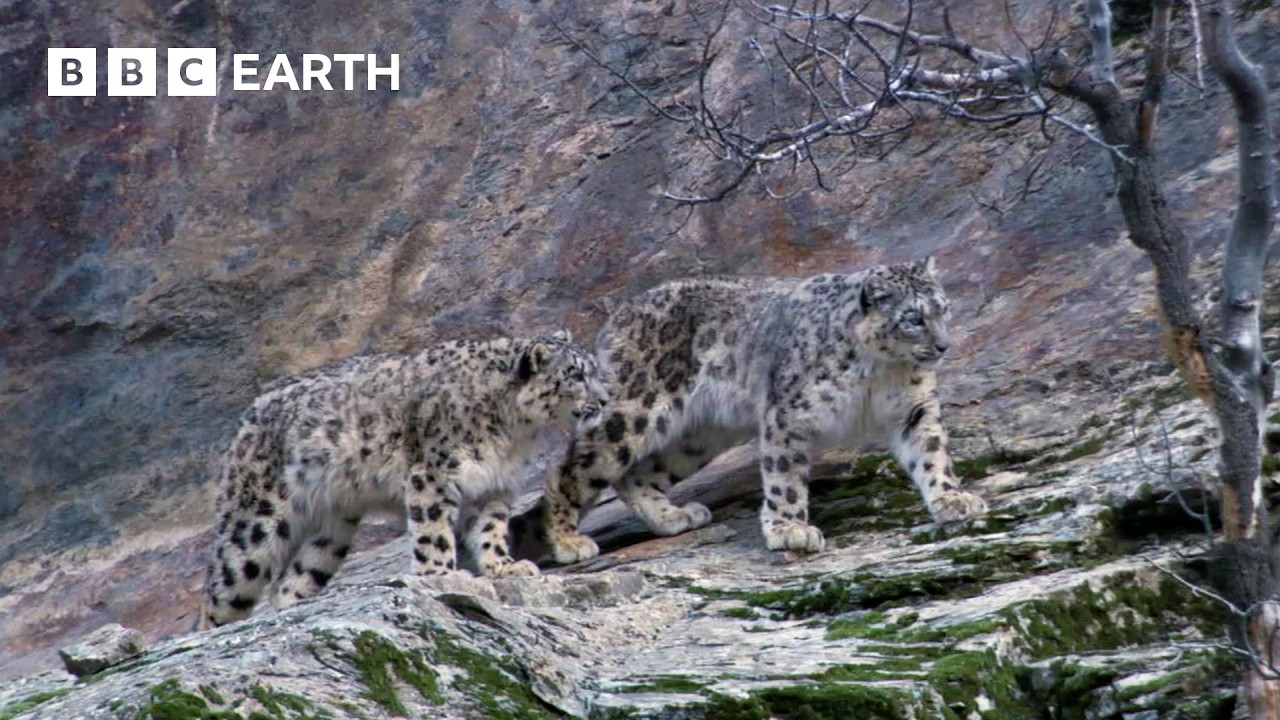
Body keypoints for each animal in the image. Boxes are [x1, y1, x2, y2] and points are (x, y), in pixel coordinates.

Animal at [198, 331, 608, 628]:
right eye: (575, 375)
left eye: (593, 368)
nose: (604, 400)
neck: (514, 433)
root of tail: (247, 416)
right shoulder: (433, 476)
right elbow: (434, 534)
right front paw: (443, 576)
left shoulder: (492, 486)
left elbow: (491, 531)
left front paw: (505, 566)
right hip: (254, 525)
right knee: (221, 595)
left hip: (331, 532)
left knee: (292, 582)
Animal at [537, 257, 988, 565]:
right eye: (914, 318)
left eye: (944, 308)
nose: (945, 345)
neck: (883, 371)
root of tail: (616, 318)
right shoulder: (790, 412)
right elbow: (784, 475)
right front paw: (791, 529)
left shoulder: (915, 409)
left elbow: (931, 453)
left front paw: (952, 499)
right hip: (631, 411)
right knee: (571, 468)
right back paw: (568, 542)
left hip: (700, 436)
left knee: (635, 474)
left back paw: (673, 516)